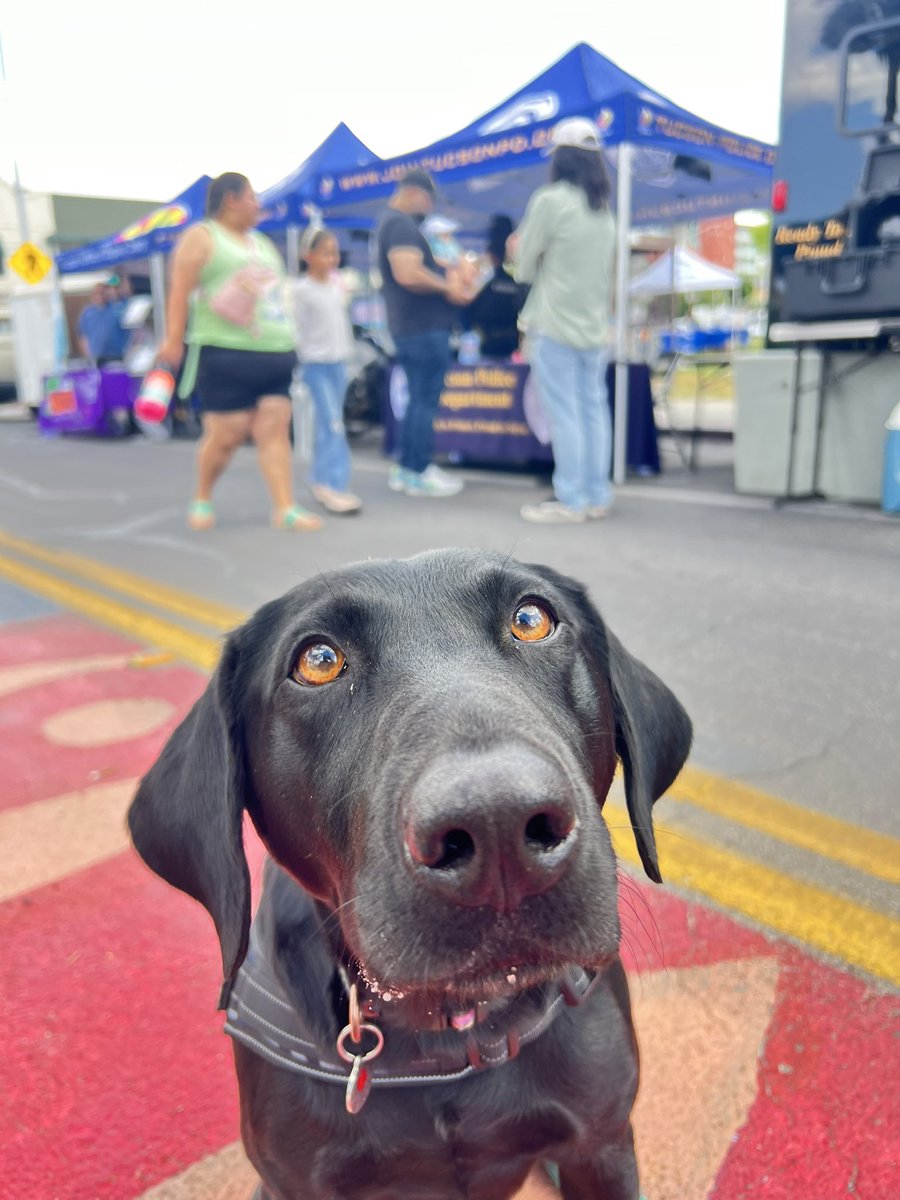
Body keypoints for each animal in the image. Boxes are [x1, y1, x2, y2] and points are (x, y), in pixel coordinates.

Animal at [128, 549, 691, 1195]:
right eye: (317, 661)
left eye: (531, 618)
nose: (496, 824)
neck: (454, 1032)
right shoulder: (296, 1182)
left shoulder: (602, 1147)